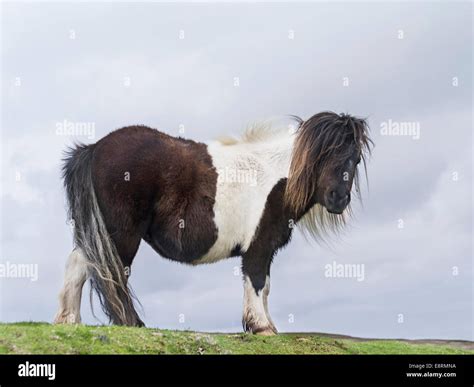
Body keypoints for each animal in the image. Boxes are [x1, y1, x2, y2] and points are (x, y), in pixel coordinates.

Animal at [55, 110, 372, 334]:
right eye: (324, 154)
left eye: (355, 159)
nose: (338, 199)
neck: (276, 176)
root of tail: (93, 148)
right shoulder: (258, 246)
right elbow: (257, 282)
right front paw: (262, 327)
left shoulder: (264, 248)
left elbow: (265, 286)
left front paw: (264, 325)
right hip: (120, 234)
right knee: (110, 273)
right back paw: (129, 323)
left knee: (77, 265)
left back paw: (69, 321)